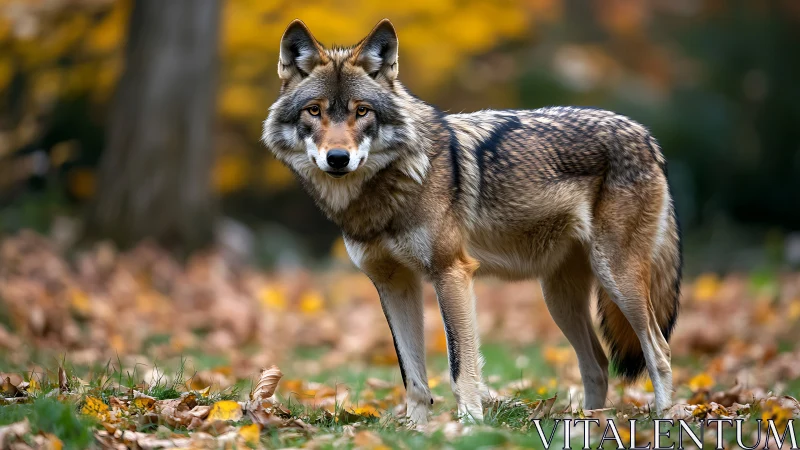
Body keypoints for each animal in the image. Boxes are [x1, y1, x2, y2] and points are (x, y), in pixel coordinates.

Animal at [262, 19, 681, 423]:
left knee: (659, 350)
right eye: (314, 110)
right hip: (558, 297)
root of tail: (645, 135)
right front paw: (417, 431)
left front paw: (467, 424)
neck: (390, 188)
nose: (337, 158)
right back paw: (588, 423)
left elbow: (459, 365)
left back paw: (666, 419)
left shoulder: (452, 272)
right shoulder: (393, 283)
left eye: (362, 111)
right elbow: (412, 375)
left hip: (616, 278)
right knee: (596, 362)